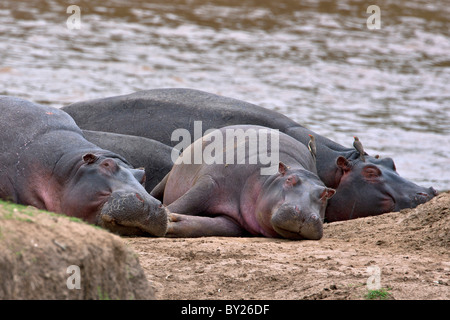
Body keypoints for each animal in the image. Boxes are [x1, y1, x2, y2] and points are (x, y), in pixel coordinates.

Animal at [153, 125, 336, 240]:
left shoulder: (235, 222)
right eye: (290, 180)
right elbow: (185, 202)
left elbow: (207, 226)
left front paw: (171, 221)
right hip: (168, 178)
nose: (305, 213)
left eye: (326, 193)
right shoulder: (211, 182)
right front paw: (165, 216)